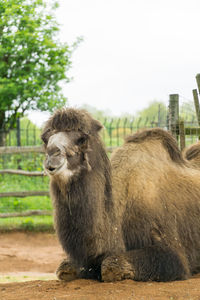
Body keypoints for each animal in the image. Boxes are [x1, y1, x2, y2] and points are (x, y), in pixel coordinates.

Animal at [41, 109, 200, 282]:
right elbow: (64, 269)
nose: (52, 154)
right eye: (45, 139)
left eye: (82, 138)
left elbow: (110, 265)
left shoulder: (173, 252)